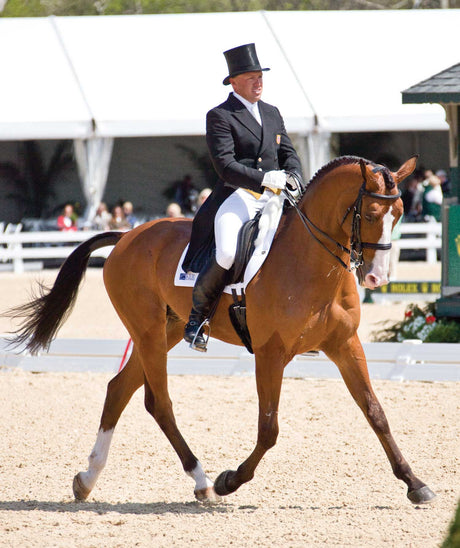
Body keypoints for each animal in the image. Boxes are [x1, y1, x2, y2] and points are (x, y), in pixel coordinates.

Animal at [9, 155, 436, 506]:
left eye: (400, 213)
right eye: (370, 212)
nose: (377, 278)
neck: (311, 261)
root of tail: (128, 235)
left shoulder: (346, 345)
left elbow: (376, 413)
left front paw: (415, 484)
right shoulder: (270, 353)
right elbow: (269, 429)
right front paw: (230, 480)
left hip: (164, 330)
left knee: (119, 390)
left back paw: (87, 479)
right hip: (148, 332)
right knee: (159, 403)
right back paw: (201, 481)